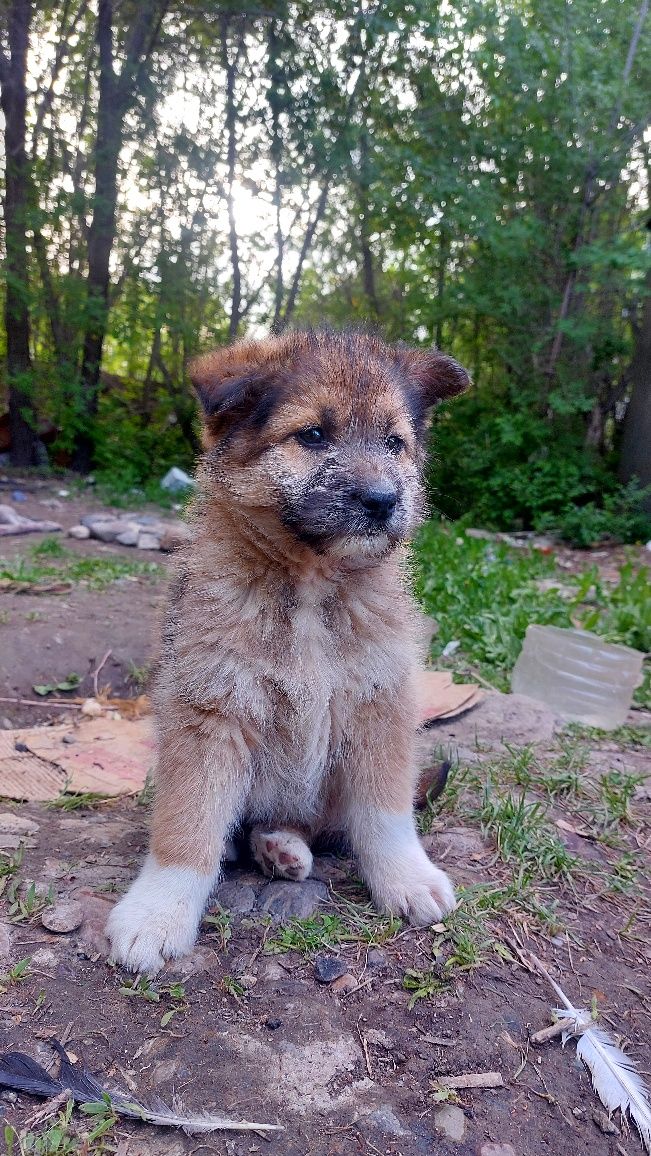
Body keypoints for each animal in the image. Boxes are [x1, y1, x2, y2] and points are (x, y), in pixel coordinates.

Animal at [106, 328, 469, 975]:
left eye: (394, 443)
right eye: (314, 435)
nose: (382, 500)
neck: (308, 585)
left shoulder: (379, 703)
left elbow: (386, 810)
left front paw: (405, 876)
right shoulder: (209, 712)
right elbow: (187, 827)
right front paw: (158, 911)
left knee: (317, 821)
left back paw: (284, 847)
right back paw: (268, 848)